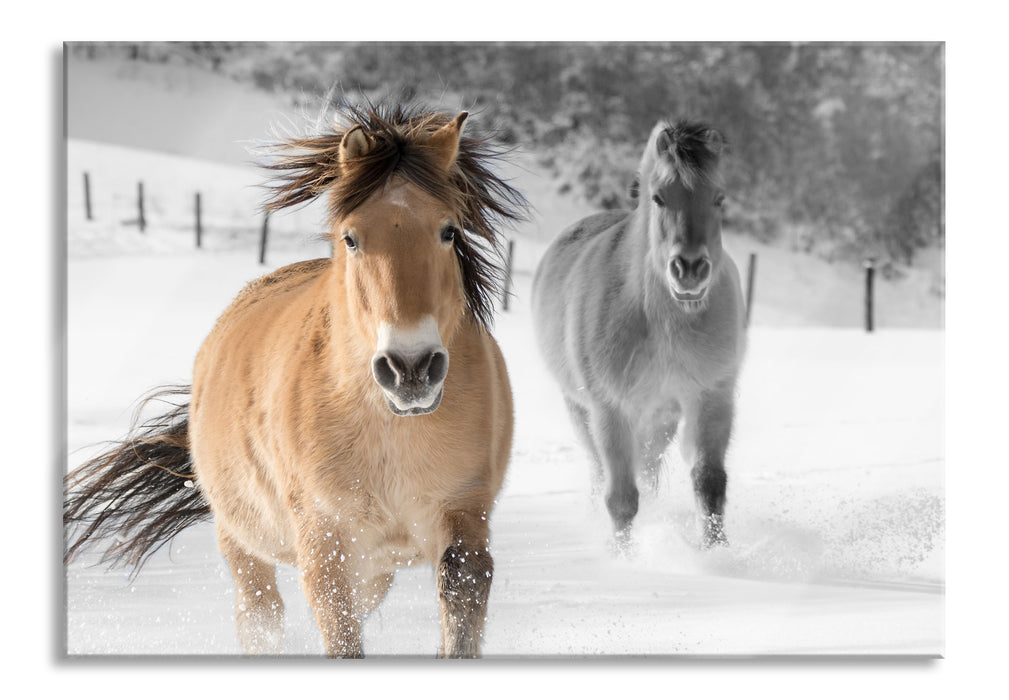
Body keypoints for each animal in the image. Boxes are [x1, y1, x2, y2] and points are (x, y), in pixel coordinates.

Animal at [66, 104, 528, 657]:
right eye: (351, 237)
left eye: (449, 232)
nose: (411, 368)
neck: (389, 431)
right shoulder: (326, 548)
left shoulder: (463, 519)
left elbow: (459, 617)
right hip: (242, 542)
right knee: (260, 617)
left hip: (375, 568)